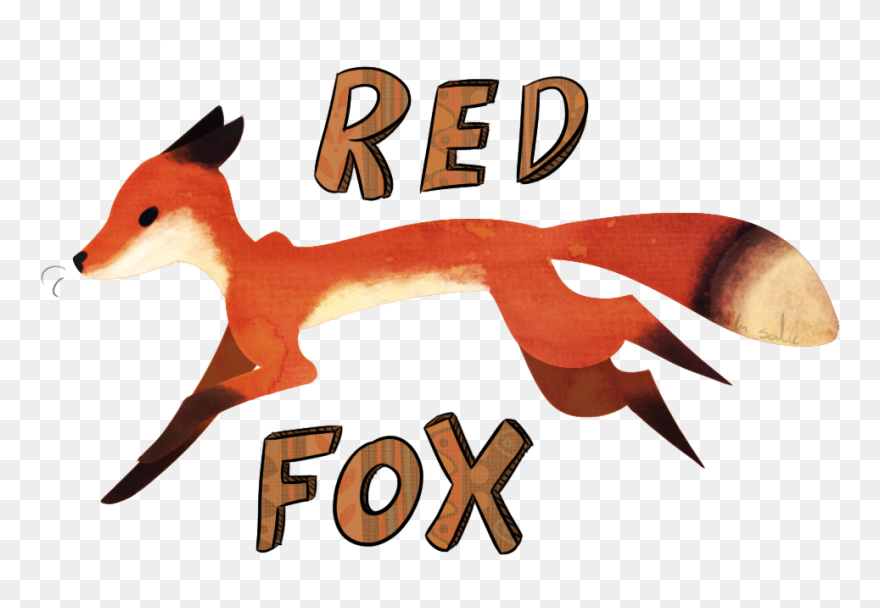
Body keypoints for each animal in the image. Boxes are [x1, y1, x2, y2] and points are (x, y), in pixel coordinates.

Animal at [75, 107, 839, 504]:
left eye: (144, 214)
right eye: (114, 203)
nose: (81, 260)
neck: (245, 263)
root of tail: (534, 232)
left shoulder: (287, 360)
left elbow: (215, 398)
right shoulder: (238, 344)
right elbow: (191, 409)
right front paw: (140, 471)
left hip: (546, 331)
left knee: (628, 314)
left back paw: (694, 381)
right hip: (553, 348)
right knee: (628, 353)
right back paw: (684, 385)